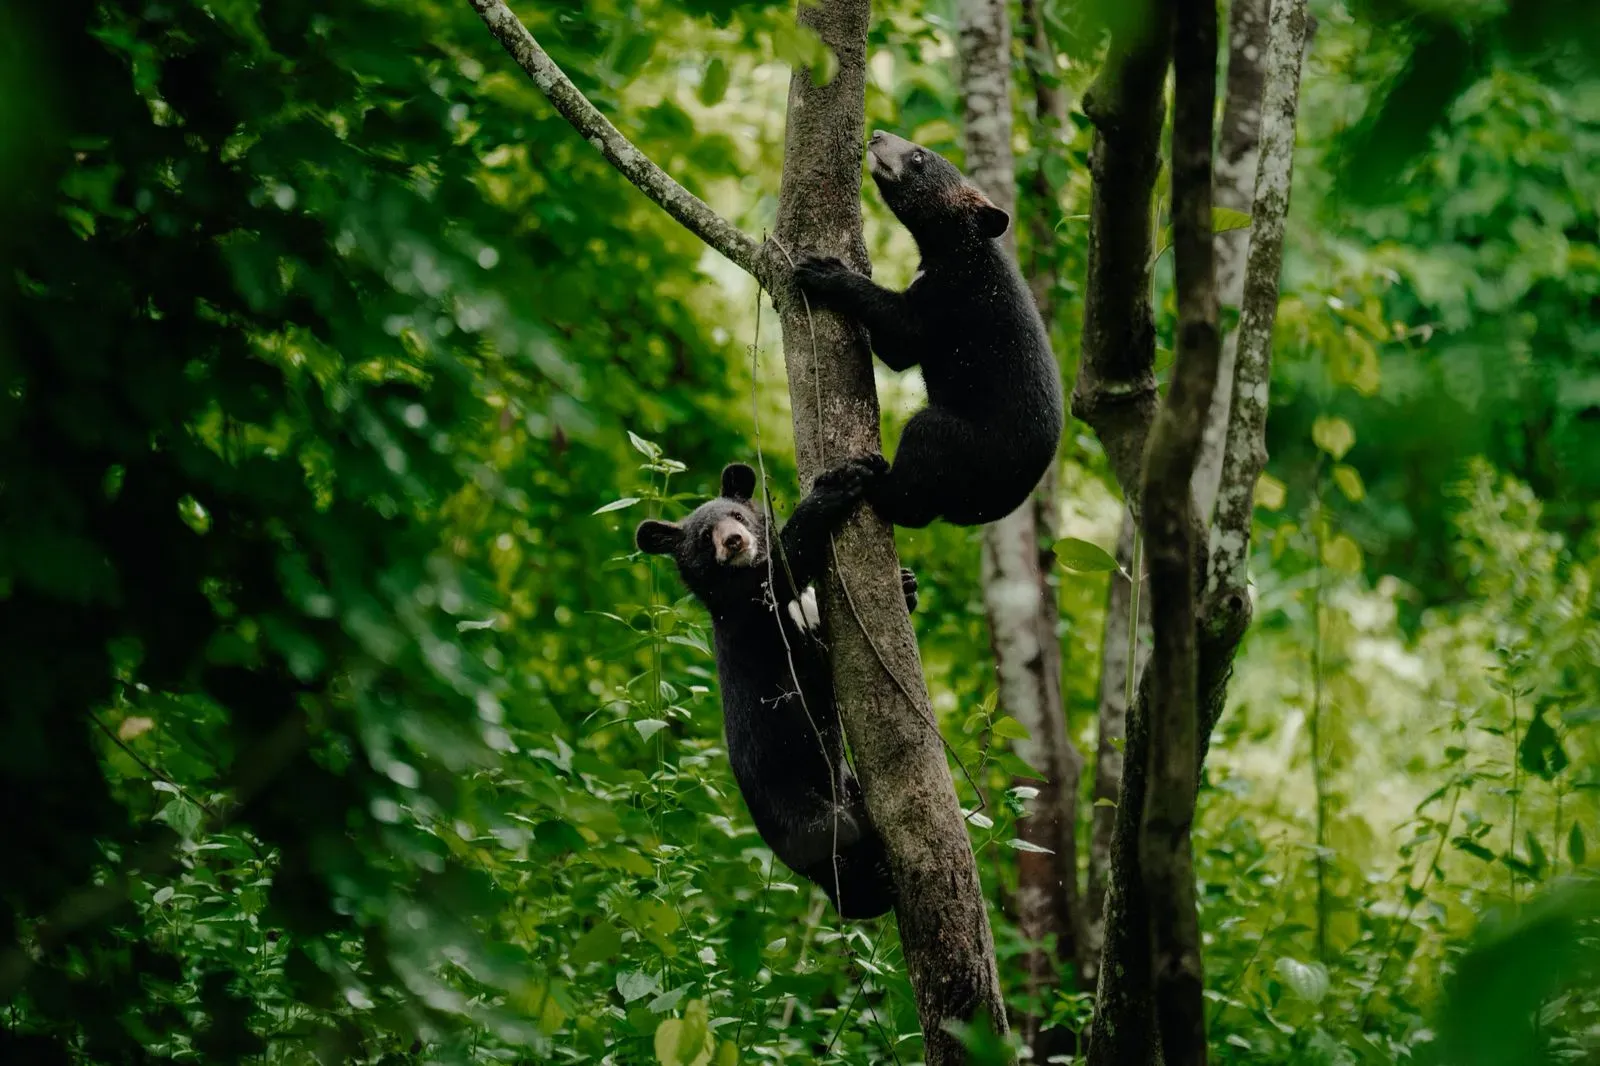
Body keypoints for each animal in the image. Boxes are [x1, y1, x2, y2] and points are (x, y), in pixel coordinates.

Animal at [634, 460, 914, 919]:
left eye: (738, 515)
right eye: (703, 537)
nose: (734, 541)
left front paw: (908, 584)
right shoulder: (749, 615)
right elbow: (781, 574)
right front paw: (835, 486)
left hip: (846, 785)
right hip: (797, 810)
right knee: (837, 846)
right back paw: (871, 889)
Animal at [790, 129, 1064, 529]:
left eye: (919, 158)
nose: (877, 135)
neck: (951, 248)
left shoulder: (954, 295)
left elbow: (905, 334)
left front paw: (824, 271)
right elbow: (897, 349)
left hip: (971, 448)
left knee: (922, 454)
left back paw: (869, 481)